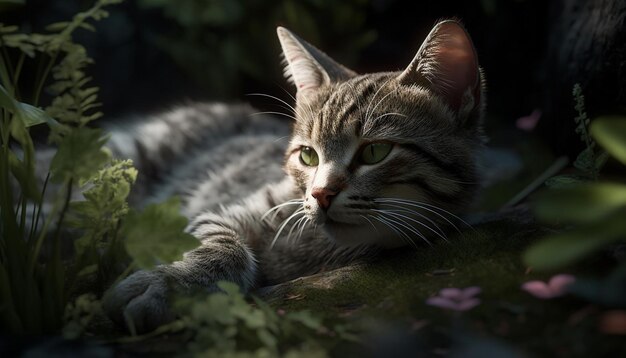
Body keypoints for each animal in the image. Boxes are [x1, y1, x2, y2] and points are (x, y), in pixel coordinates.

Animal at [102, 19, 486, 332]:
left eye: (375, 152)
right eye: (308, 155)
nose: (320, 193)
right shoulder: (226, 212)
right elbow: (222, 245)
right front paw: (173, 283)